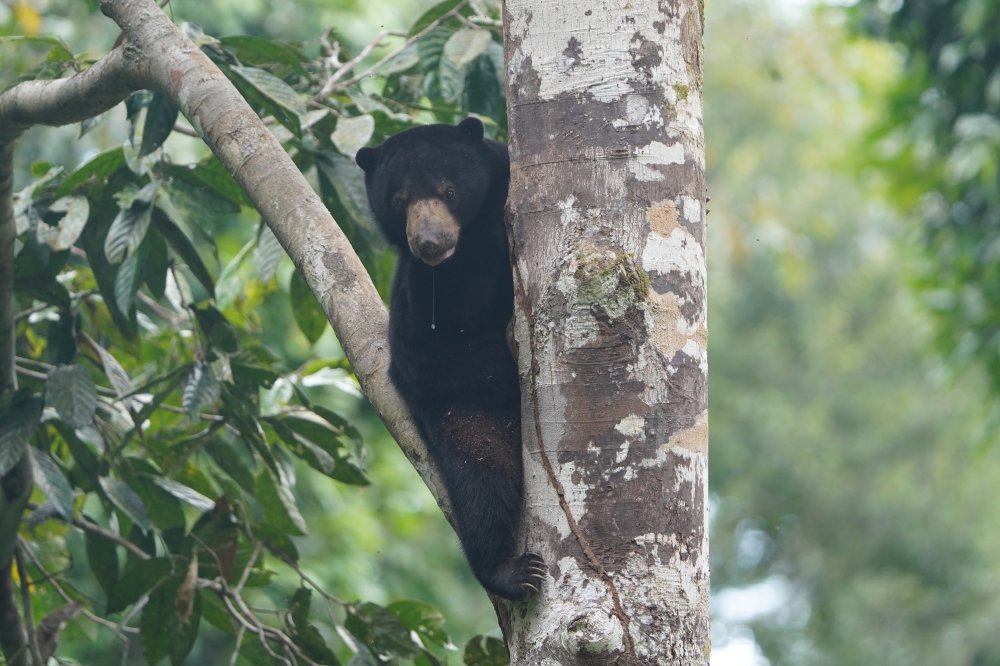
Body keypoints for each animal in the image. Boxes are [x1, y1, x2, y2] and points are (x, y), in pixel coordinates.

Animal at [355, 117, 545, 601]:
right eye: (399, 200)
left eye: (449, 190)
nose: (429, 243)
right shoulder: (425, 294)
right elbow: (449, 323)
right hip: (463, 412)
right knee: (481, 484)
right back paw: (510, 572)